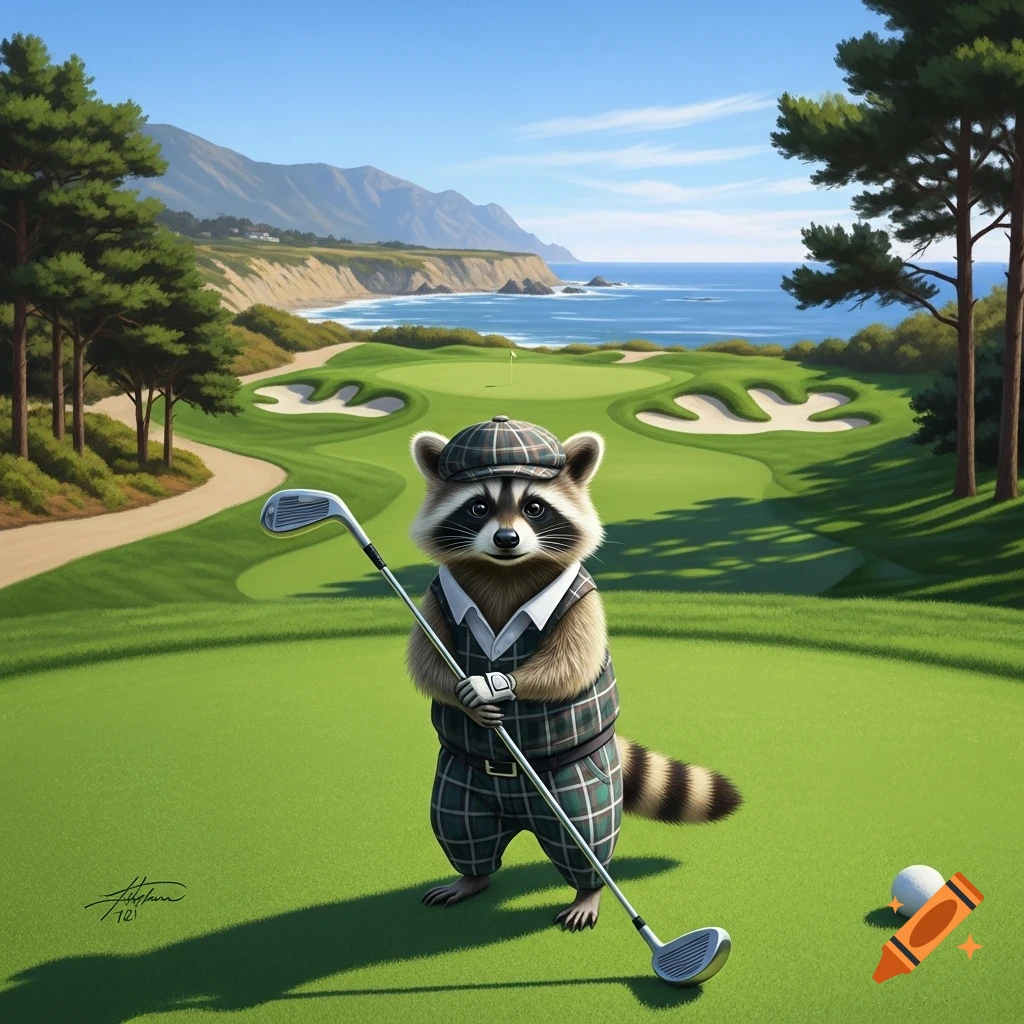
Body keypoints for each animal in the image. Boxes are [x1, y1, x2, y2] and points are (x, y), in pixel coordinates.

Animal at [406, 419, 741, 930]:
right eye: (478, 506)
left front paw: (496, 686)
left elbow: (569, 665)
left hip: (578, 786)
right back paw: (471, 877)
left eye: (535, 507)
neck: (505, 573)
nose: (506, 540)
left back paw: (589, 890)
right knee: (461, 826)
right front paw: (465, 693)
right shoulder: (437, 595)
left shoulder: (582, 598)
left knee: (586, 839)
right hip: (460, 781)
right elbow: (428, 660)